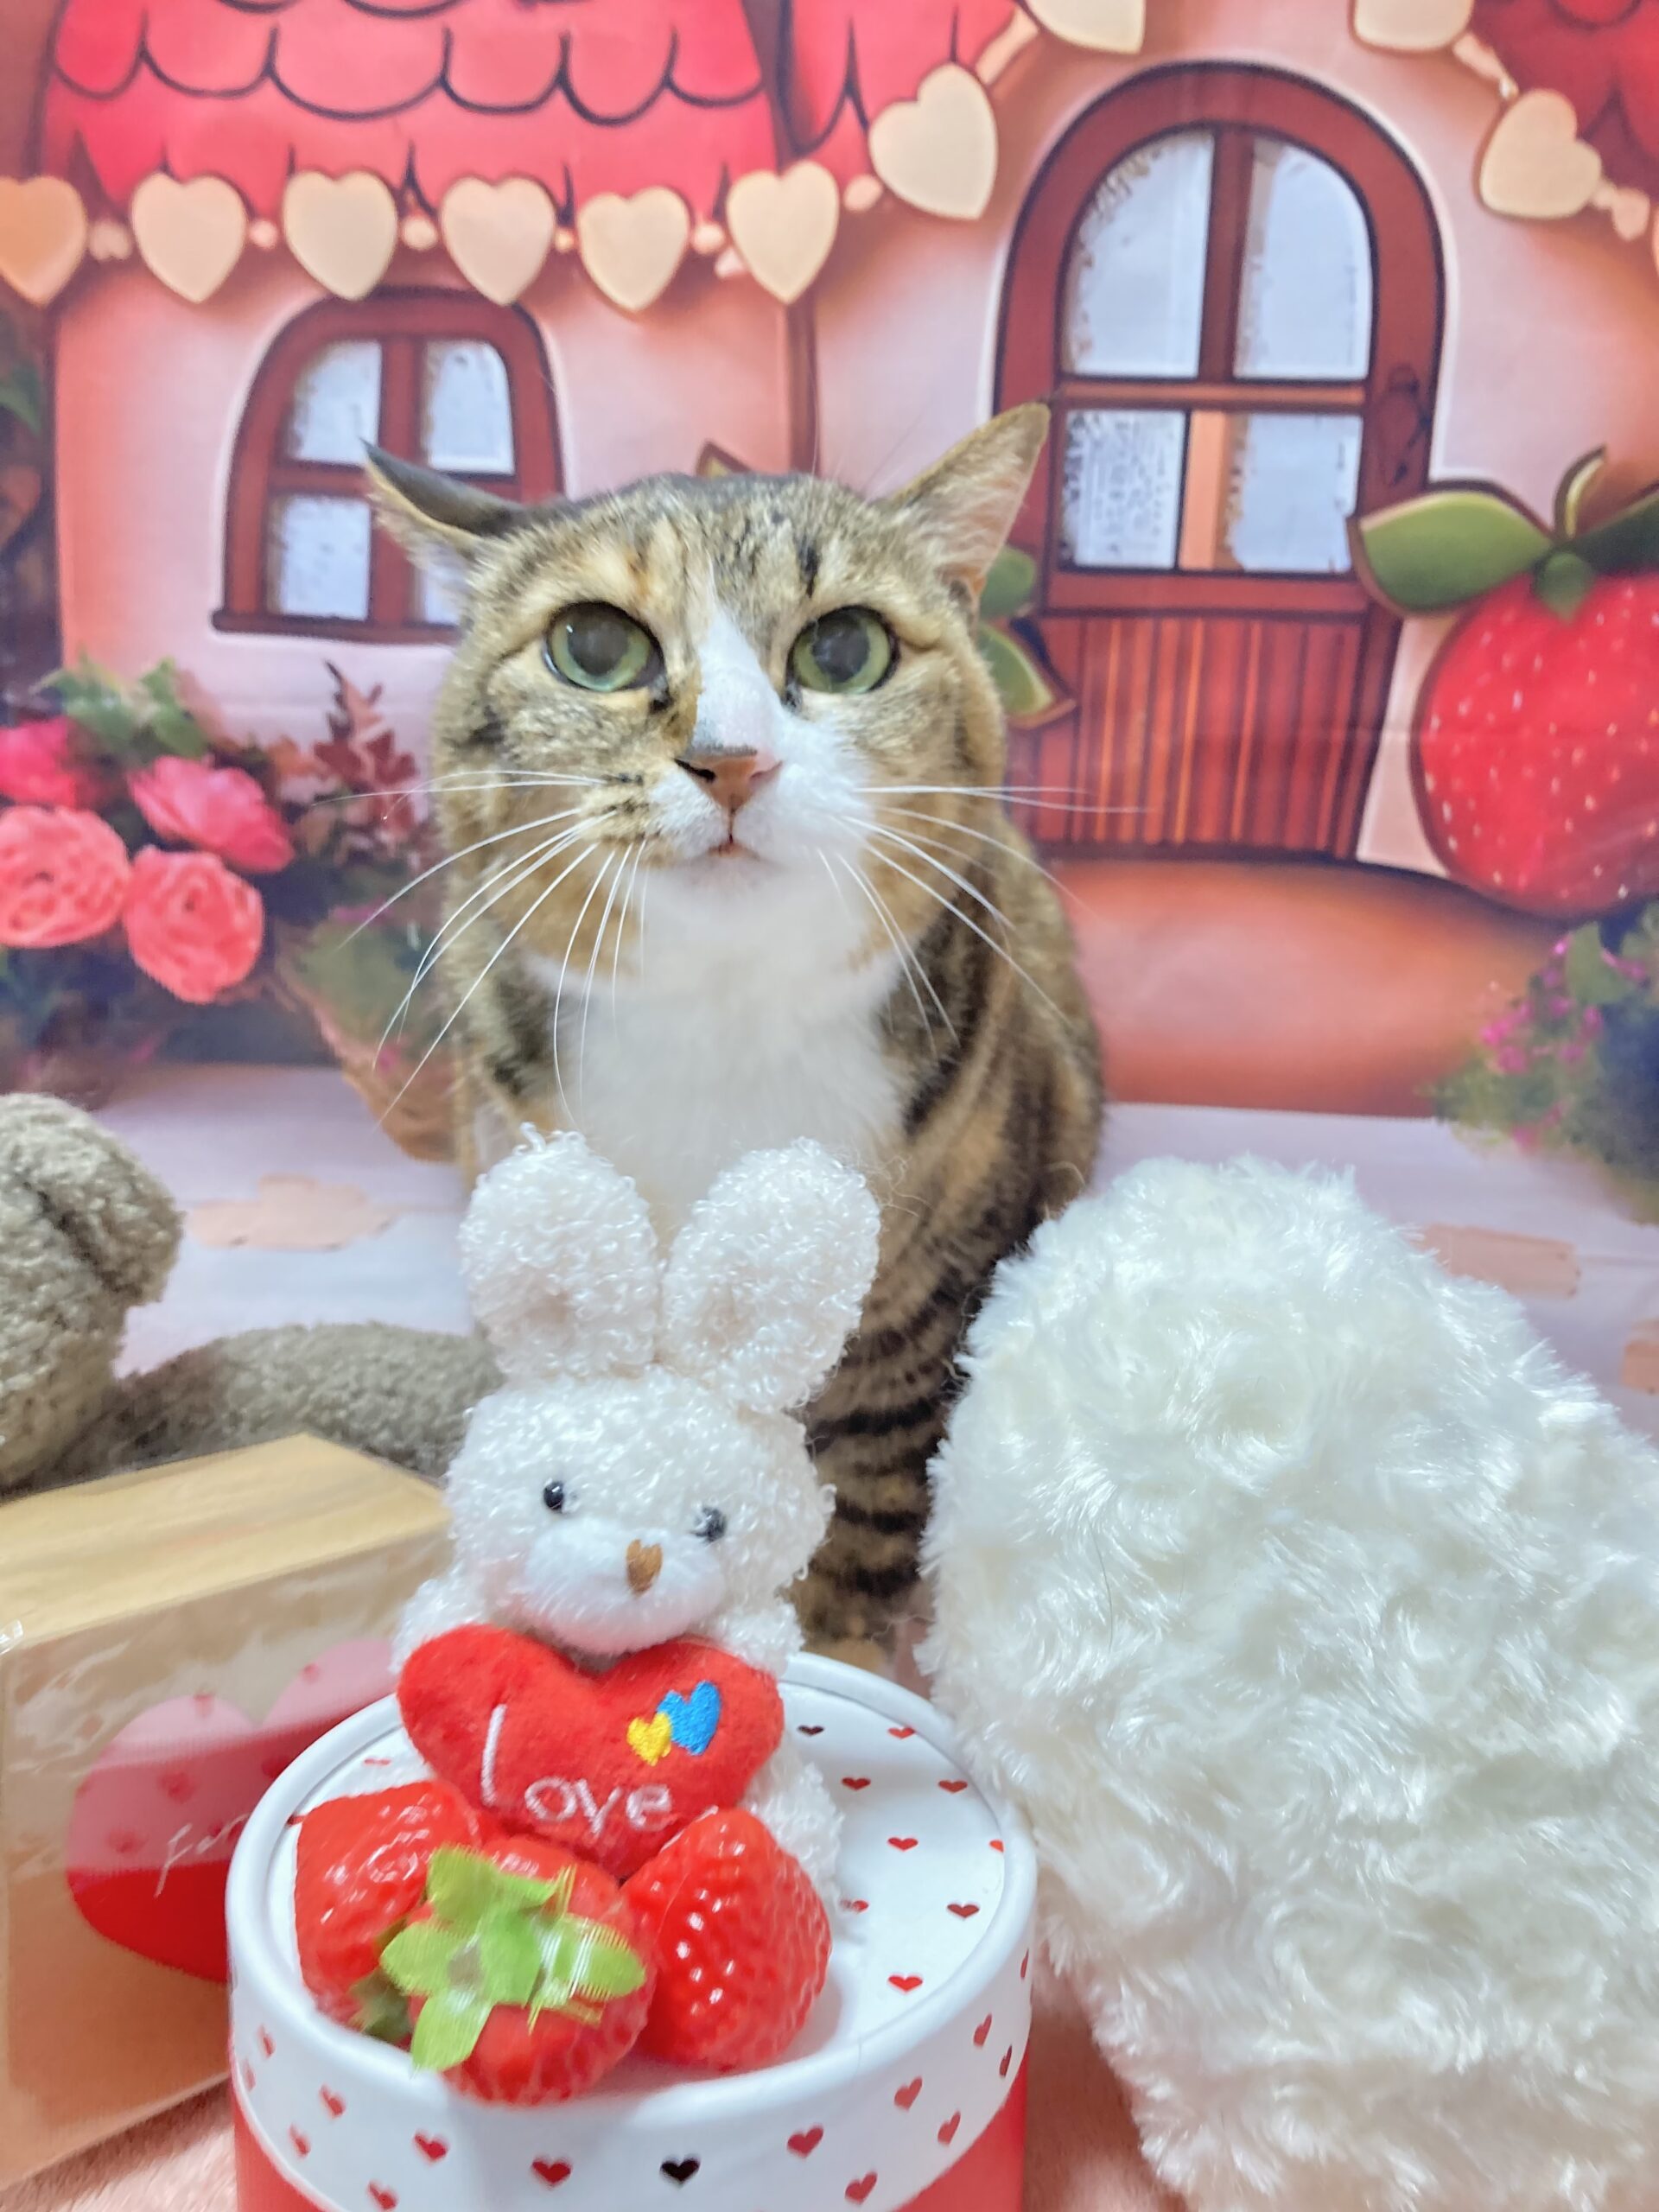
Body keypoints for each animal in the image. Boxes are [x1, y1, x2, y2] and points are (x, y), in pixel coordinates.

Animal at [366, 406, 1102, 1661]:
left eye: (846, 650)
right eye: (594, 647)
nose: (732, 757)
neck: (721, 1016)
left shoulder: (928, 1303)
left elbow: (864, 1507)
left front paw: (828, 1652)